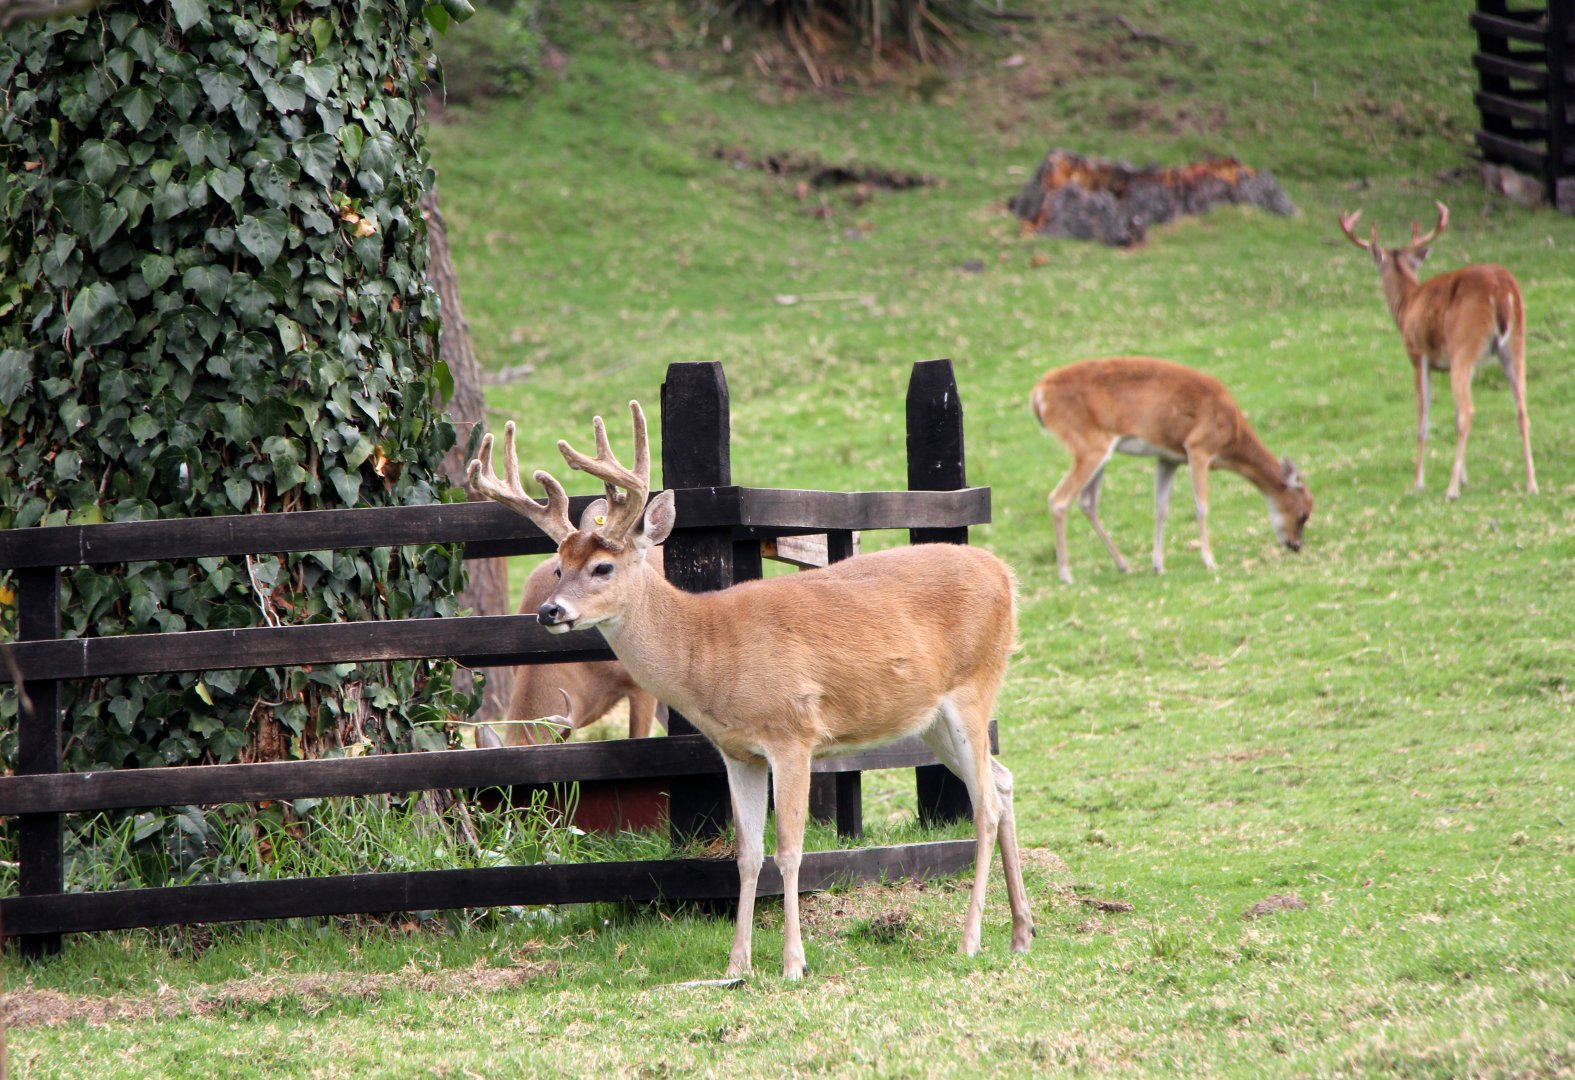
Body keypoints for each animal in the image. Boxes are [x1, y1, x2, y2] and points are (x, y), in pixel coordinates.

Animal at [467, 403, 1033, 980]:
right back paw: (1019, 932)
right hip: (931, 719)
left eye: (602, 567)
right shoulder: (737, 752)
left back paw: (971, 938)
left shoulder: (793, 734)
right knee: (1003, 780)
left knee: (986, 804)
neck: (709, 651)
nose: (549, 611)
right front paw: (737, 964)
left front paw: (792, 962)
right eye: (559, 566)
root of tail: (1005, 576)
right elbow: (747, 854)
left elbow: (790, 850)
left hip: (974, 685)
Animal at [1030, 356, 1312, 585]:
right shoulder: (1198, 447)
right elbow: (1201, 506)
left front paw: (1158, 565)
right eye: (1303, 514)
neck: (1231, 436)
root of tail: (1038, 395)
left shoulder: (1168, 458)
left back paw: (1124, 565)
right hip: (1089, 445)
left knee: (1087, 502)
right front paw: (1209, 560)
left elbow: (1161, 508)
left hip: (1099, 451)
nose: (1295, 545)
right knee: (1059, 499)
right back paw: (1066, 574)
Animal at [1337, 201, 1536, 500]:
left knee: (1468, 411)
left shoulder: (1418, 355)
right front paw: (1464, 478)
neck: (1407, 304)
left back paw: (1451, 490)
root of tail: (1502, 288)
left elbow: (1423, 419)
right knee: (1521, 409)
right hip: (1515, 343)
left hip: (1464, 344)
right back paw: (1531, 483)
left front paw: (1419, 482)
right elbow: (1450, 416)